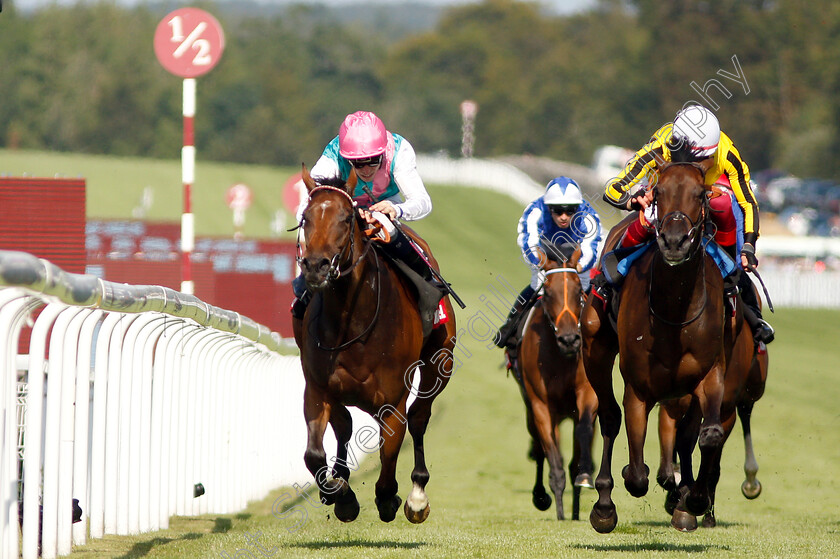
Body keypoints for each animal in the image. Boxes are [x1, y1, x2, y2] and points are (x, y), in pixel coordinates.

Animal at [296, 166, 460, 524]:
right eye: (305, 217)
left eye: (346, 218)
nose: (315, 266)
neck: (352, 322)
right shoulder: (318, 387)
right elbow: (315, 453)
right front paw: (341, 494)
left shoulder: (394, 399)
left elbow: (389, 454)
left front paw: (390, 498)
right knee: (344, 426)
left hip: (440, 362)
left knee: (420, 417)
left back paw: (417, 495)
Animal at [512, 243, 596, 524]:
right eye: (547, 292)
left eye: (579, 290)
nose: (570, 339)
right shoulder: (540, 405)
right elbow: (552, 457)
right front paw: (557, 509)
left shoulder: (587, 394)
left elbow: (583, 433)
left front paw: (584, 476)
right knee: (540, 450)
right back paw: (543, 497)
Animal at [580, 151, 732, 536]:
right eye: (658, 192)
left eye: (701, 194)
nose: (675, 241)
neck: (674, 309)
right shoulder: (638, 387)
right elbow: (636, 475)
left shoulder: (710, 374)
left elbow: (708, 435)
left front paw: (693, 500)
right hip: (595, 347)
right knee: (609, 416)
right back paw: (604, 505)